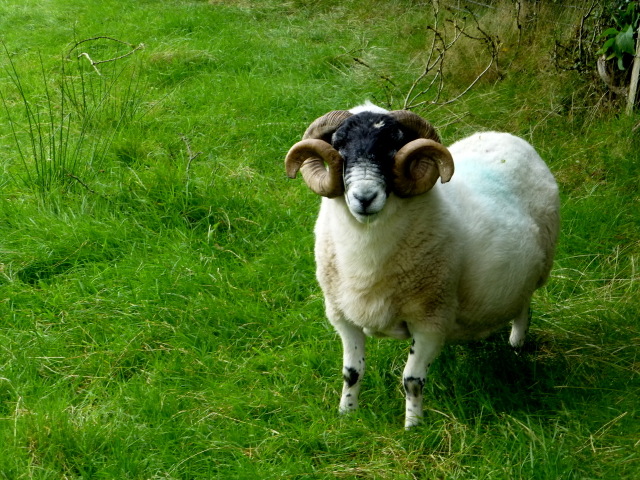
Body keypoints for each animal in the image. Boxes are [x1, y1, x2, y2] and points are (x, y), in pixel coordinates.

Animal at [284, 103, 560, 430]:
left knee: (525, 305)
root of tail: (507, 136)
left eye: (395, 145)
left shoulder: (430, 319)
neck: (366, 254)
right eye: (339, 145)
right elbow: (351, 373)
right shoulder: (343, 317)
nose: (365, 197)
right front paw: (346, 414)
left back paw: (517, 344)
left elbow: (412, 380)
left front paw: (413, 427)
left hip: (539, 270)